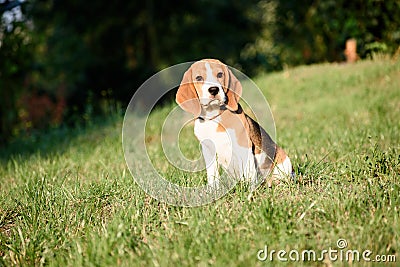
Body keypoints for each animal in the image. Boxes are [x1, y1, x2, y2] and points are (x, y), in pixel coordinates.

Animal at [177, 59, 292, 188]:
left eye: (220, 74)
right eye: (198, 78)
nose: (213, 90)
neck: (214, 117)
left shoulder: (244, 146)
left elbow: (249, 172)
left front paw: (250, 189)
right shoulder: (208, 149)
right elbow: (212, 174)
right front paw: (213, 189)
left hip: (284, 161)